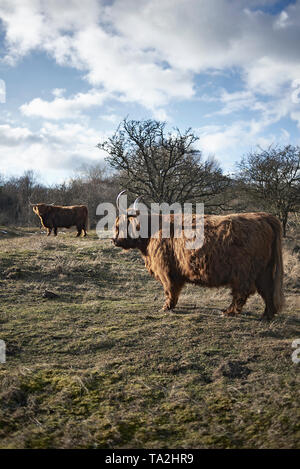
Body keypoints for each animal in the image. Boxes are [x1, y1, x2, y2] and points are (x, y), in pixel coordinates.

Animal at [112, 192, 284, 320]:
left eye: (120, 225)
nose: (113, 239)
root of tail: (264, 216)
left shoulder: (166, 269)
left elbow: (170, 289)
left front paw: (166, 307)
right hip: (264, 269)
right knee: (267, 289)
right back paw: (266, 315)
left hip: (244, 271)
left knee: (243, 291)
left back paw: (229, 312)